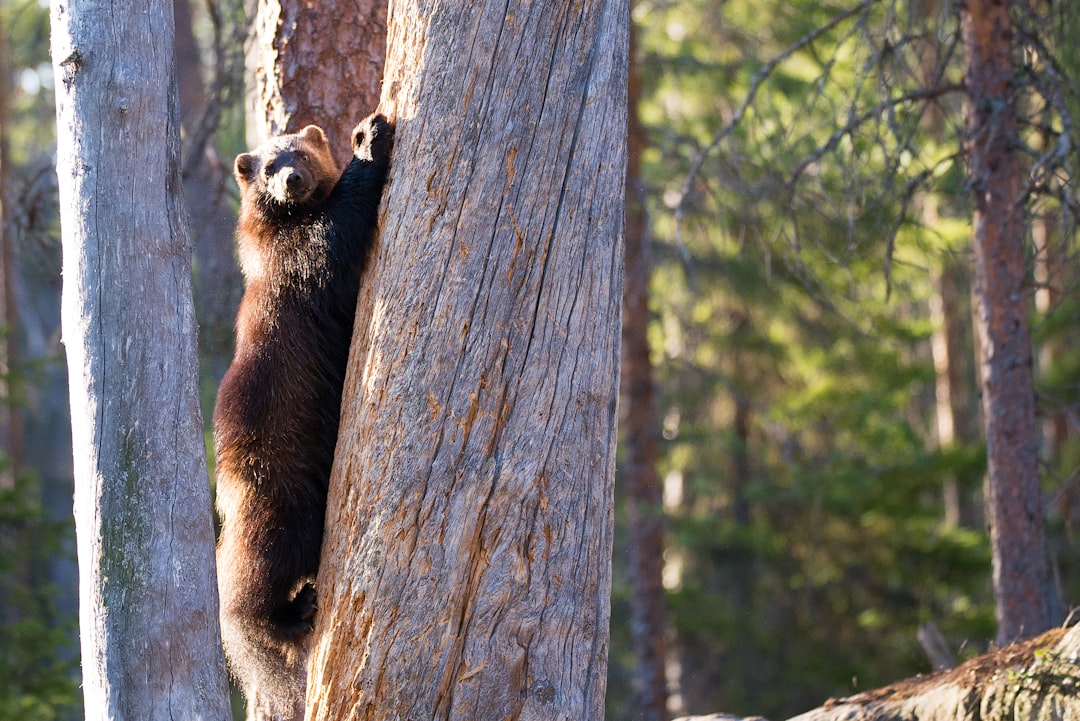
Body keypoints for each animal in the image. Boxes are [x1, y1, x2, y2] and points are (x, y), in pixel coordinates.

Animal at [210, 112, 393, 716]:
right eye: (269, 164)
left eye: (301, 155)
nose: (291, 180)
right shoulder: (305, 256)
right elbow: (339, 224)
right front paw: (370, 139)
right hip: (280, 503)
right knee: (244, 588)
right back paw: (292, 614)